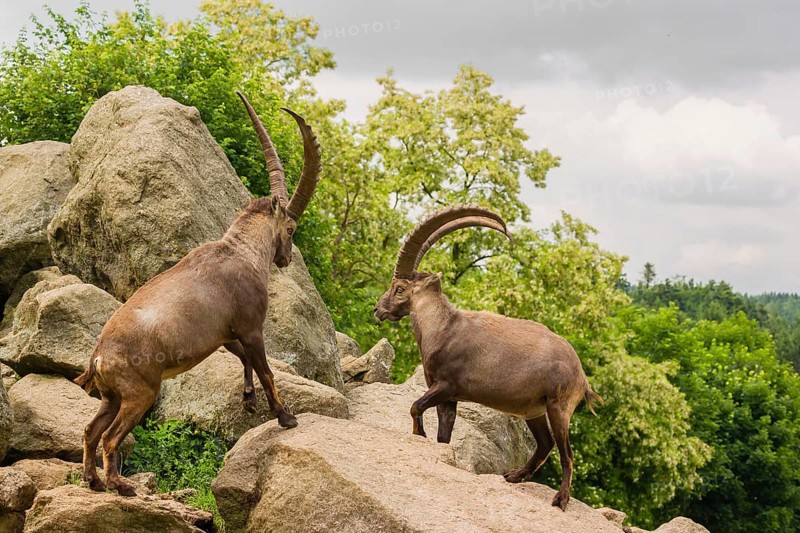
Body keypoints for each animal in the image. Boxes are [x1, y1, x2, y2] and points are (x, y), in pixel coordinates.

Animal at [74, 91, 321, 496]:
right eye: (291, 227)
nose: (284, 259)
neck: (240, 251)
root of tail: (97, 358)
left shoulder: (224, 334)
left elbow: (245, 360)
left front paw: (248, 401)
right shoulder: (251, 326)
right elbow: (267, 369)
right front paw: (285, 416)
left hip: (112, 397)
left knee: (90, 430)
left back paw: (93, 481)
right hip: (140, 393)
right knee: (110, 438)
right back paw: (121, 486)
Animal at [374, 205, 603, 511]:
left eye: (399, 288)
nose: (378, 309)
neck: (443, 327)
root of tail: (581, 375)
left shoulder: (445, 386)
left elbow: (414, 406)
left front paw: (418, 435)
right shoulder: (448, 399)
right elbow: (443, 436)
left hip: (559, 407)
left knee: (566, 453)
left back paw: (561, 498)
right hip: (534, 410)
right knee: (544, 444)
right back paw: (514, 475)